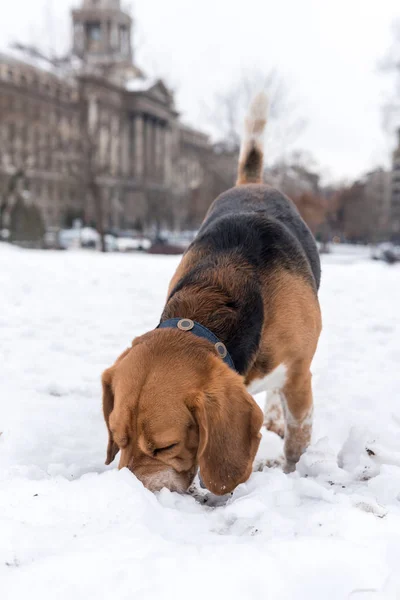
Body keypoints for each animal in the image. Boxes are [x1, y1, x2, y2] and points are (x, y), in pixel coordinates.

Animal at [101, 94, 320, 494]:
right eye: (117, 437)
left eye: (165, 446)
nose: (133, 496)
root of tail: (252, 183)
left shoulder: (299, 376)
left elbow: (298, 440)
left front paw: (292, 473)